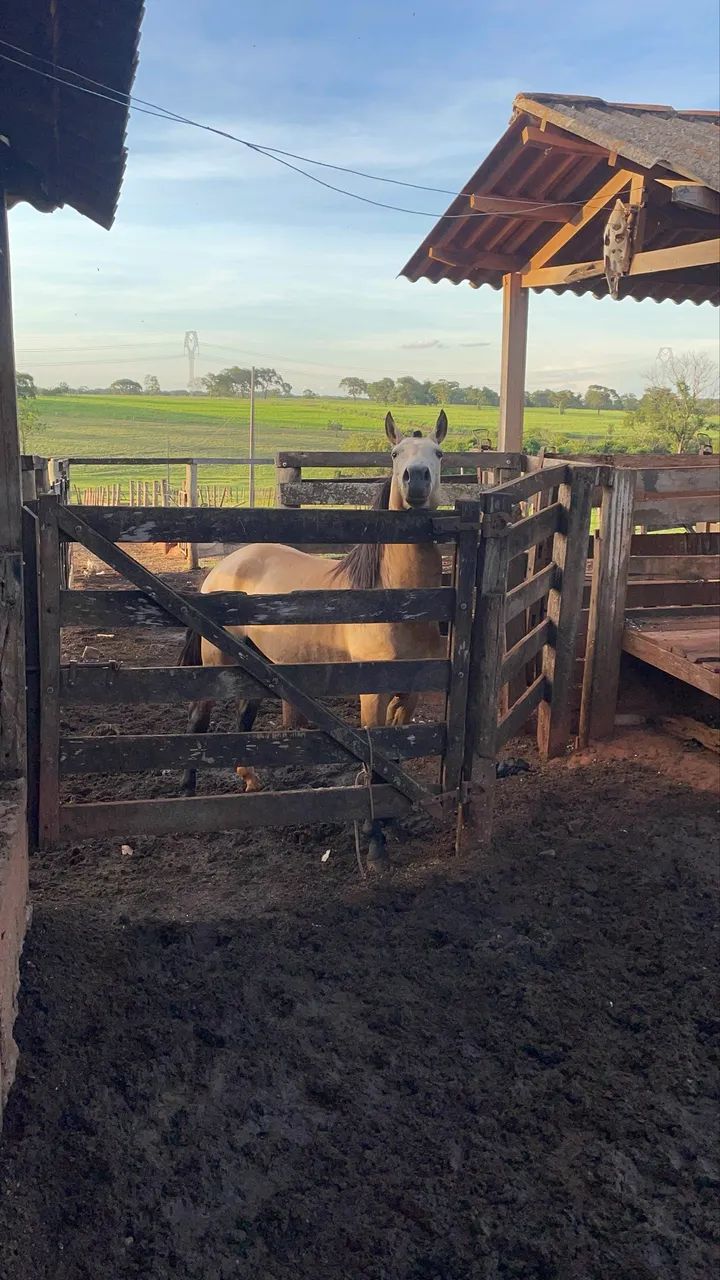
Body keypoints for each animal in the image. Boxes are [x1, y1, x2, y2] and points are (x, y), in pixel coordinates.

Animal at [177, 409, 449, 866]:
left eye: (439, 452)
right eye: (395, 453)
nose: (416, 480)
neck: (395, 599)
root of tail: (223, 568)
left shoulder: (410, 690)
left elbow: (395, 755)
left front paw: (390, 821)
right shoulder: (372, 691)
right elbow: (376, 756)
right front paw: (374, 840)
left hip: (257, 663)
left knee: (243, 718)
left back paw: (251, 780)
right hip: (218, 664)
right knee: (199, 719)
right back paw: (187, 791)